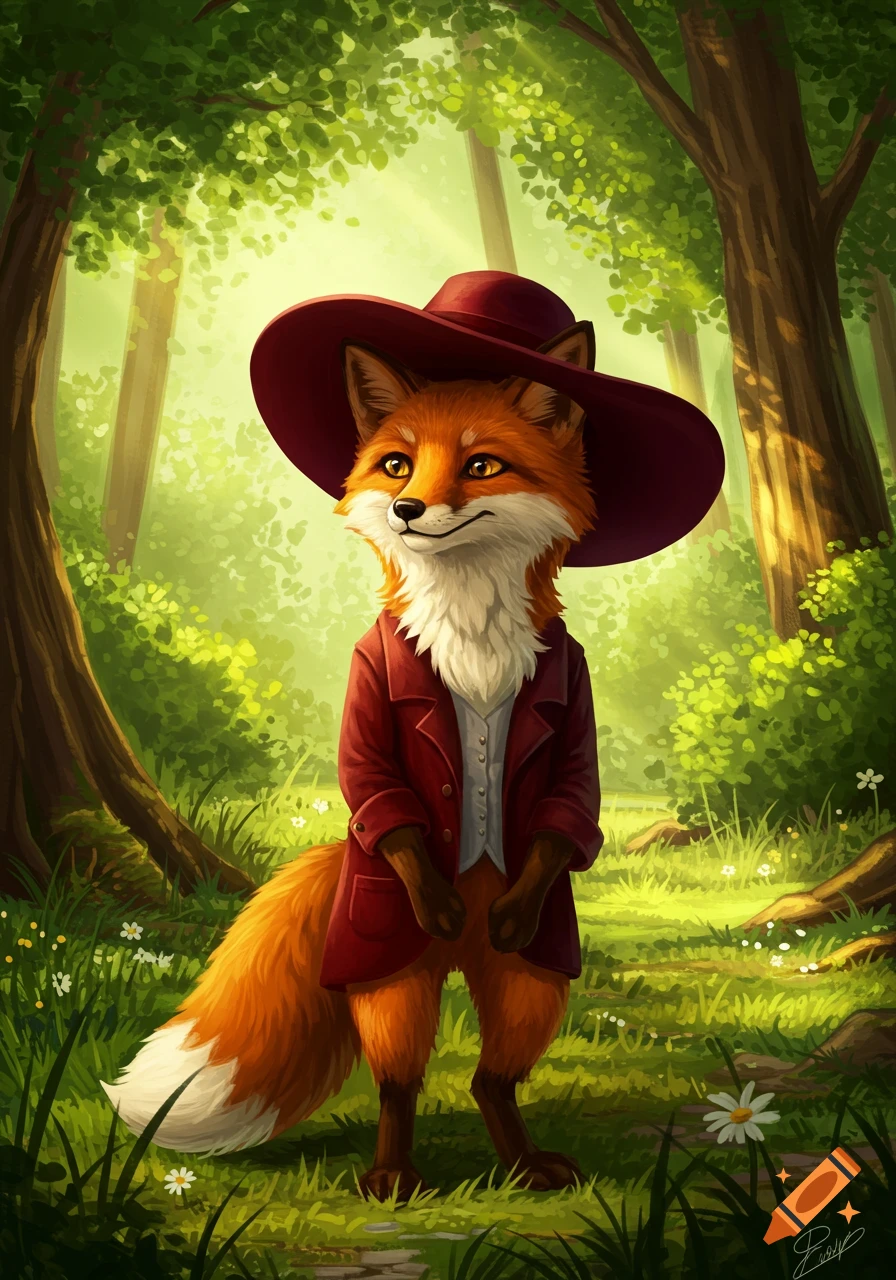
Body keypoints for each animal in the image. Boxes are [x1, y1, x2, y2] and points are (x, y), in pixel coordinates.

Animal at [101, 315, 604, 1201]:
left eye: (480, 464)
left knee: (493, 1077)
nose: (406, 509)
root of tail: (456, 951)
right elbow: (375, 779)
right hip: (392, 975)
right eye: (397, 463)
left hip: (529, 982)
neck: (471, 633)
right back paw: (395, 1173)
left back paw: (521, 1162)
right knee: (400, 1076)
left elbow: (571, 801)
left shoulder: (571, 700)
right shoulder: (370, 688)